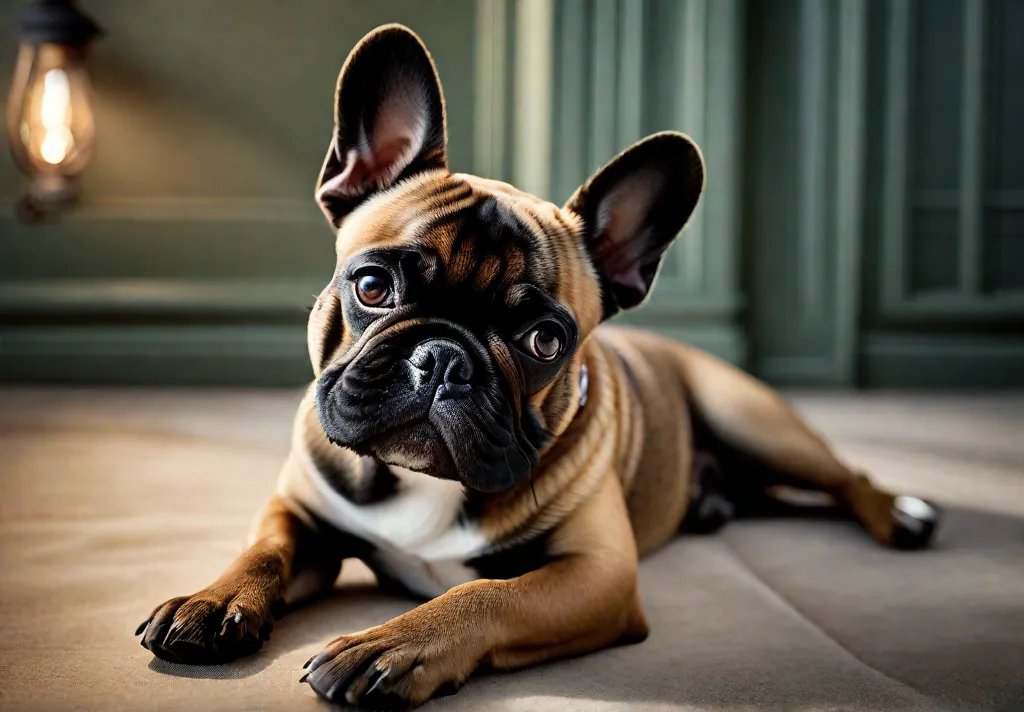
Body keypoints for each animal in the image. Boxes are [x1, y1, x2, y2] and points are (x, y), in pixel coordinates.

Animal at [138, 23, 942, 712]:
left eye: (545, 342)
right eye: (371, 287)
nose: (443, 357)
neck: (427, 484)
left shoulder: (597, 574)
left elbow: (486, 595)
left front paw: (389, 645)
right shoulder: (302, 510)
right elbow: (263, 550)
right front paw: (212, 600)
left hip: (752, 420)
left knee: (845, 476)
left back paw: (901, 513)